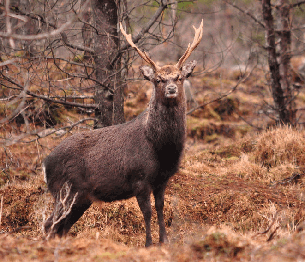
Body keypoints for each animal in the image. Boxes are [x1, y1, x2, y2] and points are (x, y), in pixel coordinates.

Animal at [42, 20, 202, 246]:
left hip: (81, 198)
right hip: (65, 190)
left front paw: (164, 240)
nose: (171, 89)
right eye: (158, 79)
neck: (159, 147)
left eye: (179, 77)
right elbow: (147, 212)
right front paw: (148, 243)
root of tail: (45, 164)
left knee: (61, 227)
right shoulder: (139, 178)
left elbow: (161, 208)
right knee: (50, 224)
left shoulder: (162, 180)